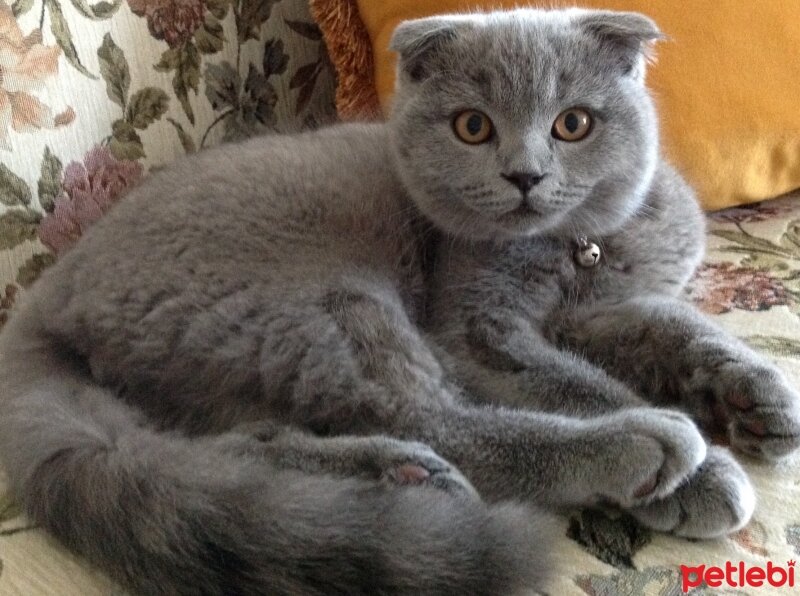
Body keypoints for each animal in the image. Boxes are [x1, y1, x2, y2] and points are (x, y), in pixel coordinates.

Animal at [1, 5, 800, 596]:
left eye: (573, 123)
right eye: (473, 126)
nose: (525, 175)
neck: (581, 251)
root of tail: (48, 293)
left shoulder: (612, 308)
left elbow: (678, 327)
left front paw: (756, 398)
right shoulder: (476, 329)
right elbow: (578, 384)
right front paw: (701, 465)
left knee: (233, 447)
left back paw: (395, 476)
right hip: (328, 306)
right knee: (437, 419)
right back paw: (641, 449)